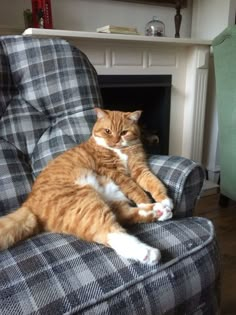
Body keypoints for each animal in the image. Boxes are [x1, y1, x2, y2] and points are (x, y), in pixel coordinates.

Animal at [0, 110, 173, 266]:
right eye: (107, 131)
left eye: (124, 132)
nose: (115, 141)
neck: (118, 150)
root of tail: (28, 203)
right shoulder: (115, 173)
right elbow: (135, 189)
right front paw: (145, 201)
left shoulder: (139, 168)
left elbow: (153, 182)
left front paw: (165, 200)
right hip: (85, 201)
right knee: (109, 231)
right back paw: (147, 252)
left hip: (109, 197)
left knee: (124, 215)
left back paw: (159, 211)